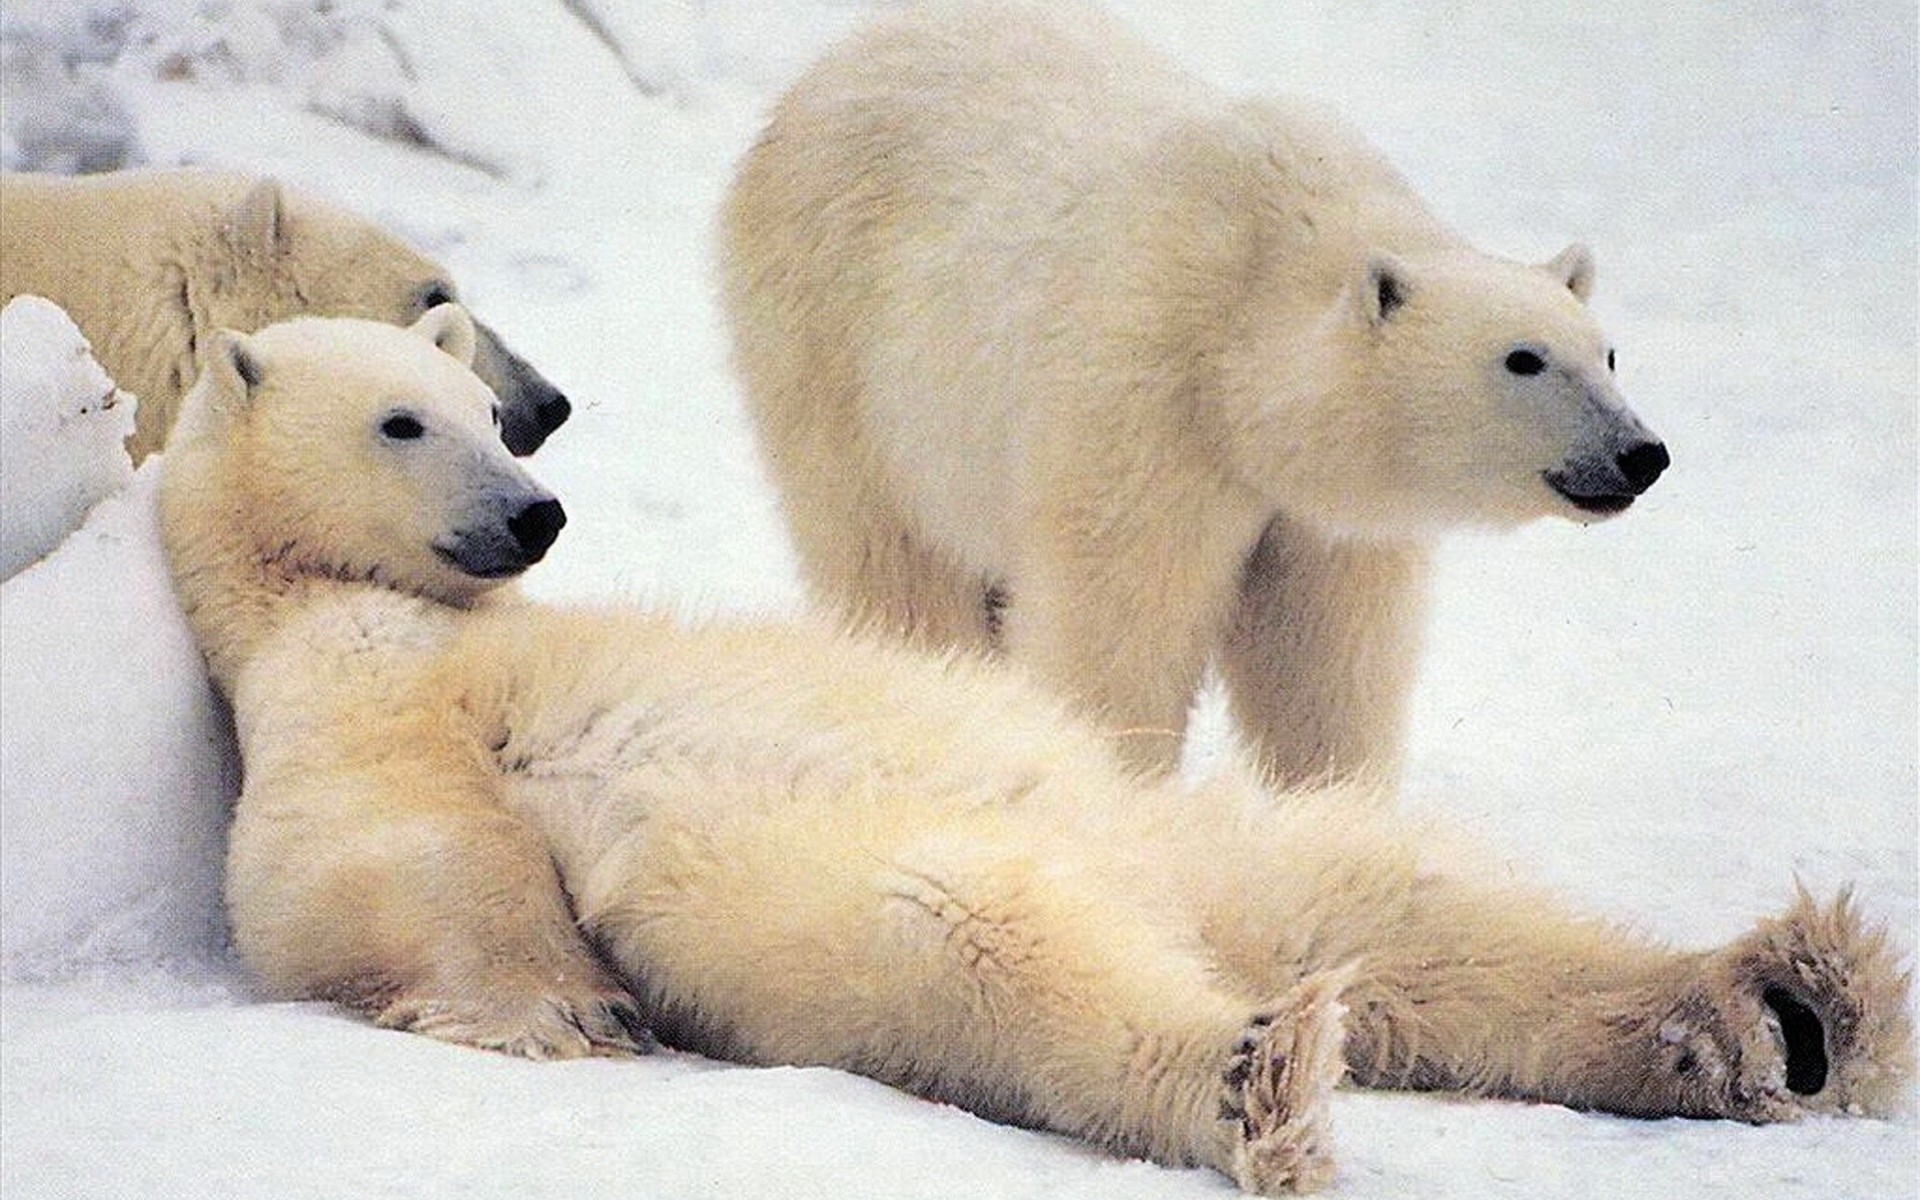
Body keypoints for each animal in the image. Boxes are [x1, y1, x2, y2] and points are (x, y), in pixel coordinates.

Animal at [158, 311, 1907, 1196]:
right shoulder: (338, 708)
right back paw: (1260, 1072)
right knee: (976, 941)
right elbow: (374, 866)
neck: (364, 605)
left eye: (484, 412)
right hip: (876, 877)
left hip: (1181, 831)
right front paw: (564, 1012)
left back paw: (1780, 1009)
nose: (534, 513)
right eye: (404, 420)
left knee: (1401, 905)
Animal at [719, 0, 1670, 785]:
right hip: (838, 349)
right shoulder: (1147, 403)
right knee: (894, 565)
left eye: (1608, 353)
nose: (1641, 453)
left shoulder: (1323, 519)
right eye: (1523, 359)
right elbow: (1122, 624)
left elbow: (1325, 659)